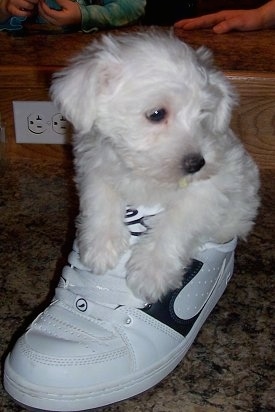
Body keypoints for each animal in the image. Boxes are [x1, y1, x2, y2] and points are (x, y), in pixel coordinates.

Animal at [50, 28, 260, 300]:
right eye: (157, 114)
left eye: (203, 113)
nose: (197, 163)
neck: (146, 175)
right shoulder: (94, 165)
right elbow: (99, 199)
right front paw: (100, 246)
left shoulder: (209, 189)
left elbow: (176, 223)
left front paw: (152, 271)